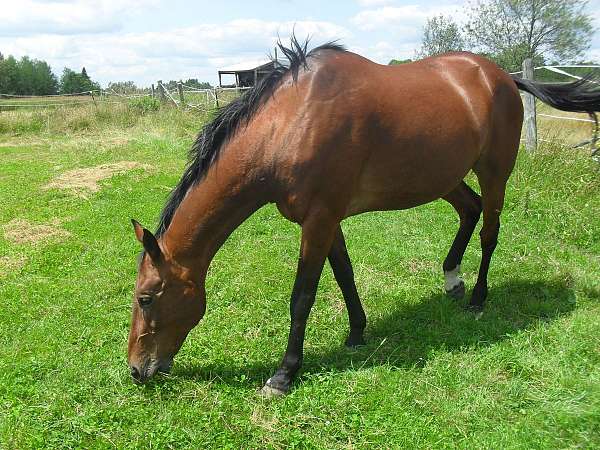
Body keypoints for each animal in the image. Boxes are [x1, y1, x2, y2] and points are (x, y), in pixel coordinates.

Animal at [127, 39, 600, 398]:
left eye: (146, 298)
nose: (135, 369)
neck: (291, 122)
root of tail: (501, 76)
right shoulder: (327, 219)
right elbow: (344, 274)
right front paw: (357, 333)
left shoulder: (318, 220)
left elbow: (302, 297)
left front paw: (284, 374)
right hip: (443, 176)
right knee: (470, 210)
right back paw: (452, 278)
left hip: (494, 171)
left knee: (489, 230)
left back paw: (479, 297)